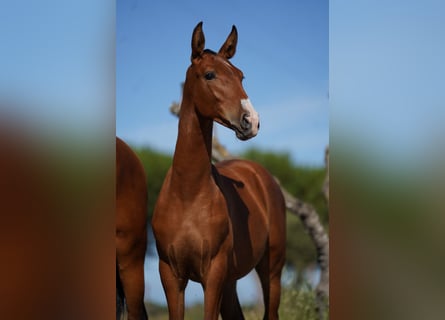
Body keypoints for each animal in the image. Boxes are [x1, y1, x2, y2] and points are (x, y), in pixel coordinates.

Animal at [151, 22, 286, 320]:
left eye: (241, 76)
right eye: (209, 74)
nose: (251, 121)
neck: (187, 195)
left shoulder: (212, 274)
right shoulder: (171, 275)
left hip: (271, 269)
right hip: (231, 280)